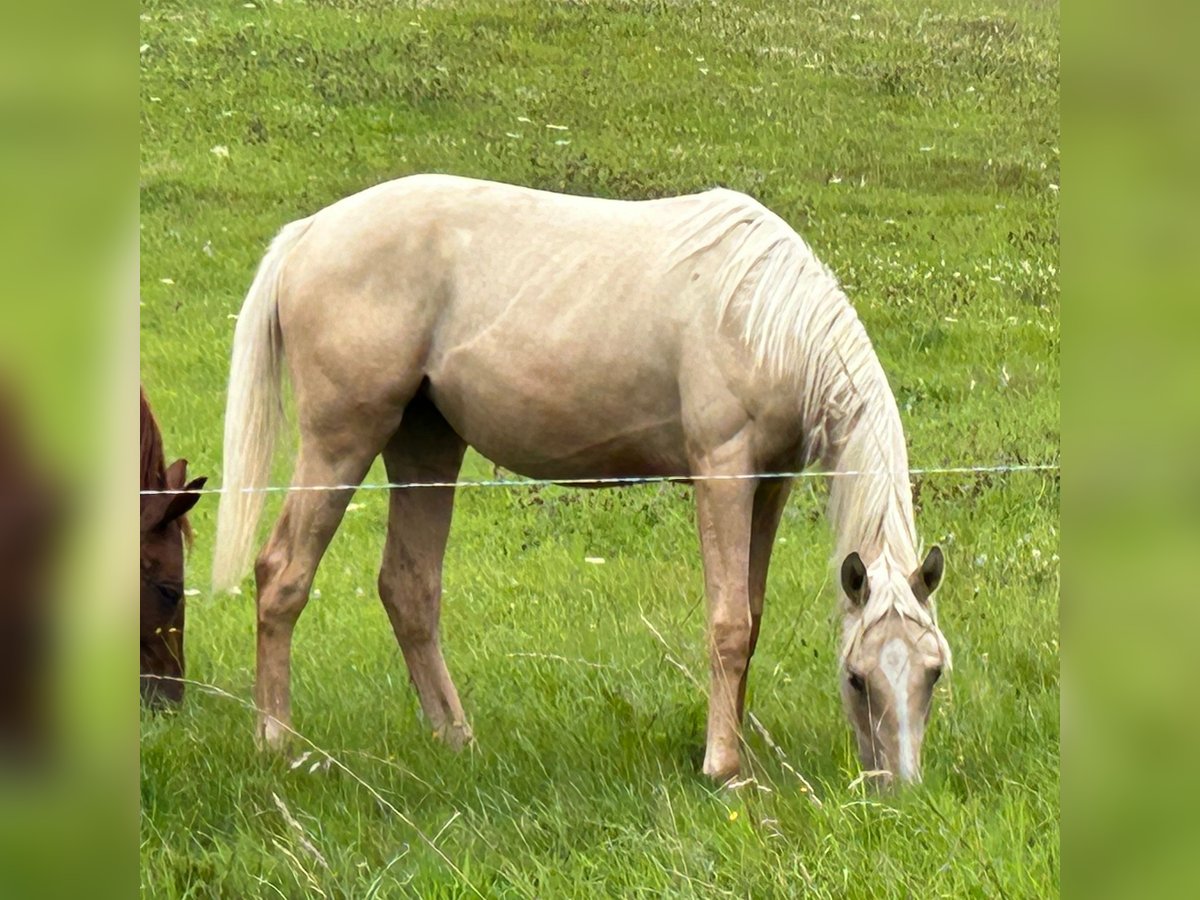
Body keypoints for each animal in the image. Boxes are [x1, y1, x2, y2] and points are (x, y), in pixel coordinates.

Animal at [212, 174, 950, 786]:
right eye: (857, 679)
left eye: (933, 672)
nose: (900, 787)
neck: (761, 312)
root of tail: (309, 232)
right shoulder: (724, 474)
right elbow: (728, 623)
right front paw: (723, 768)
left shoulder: (771, 483)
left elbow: (754, 615)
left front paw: (736, 748)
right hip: (342, 442)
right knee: (282, 575)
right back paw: (277, 743)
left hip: (425, 447)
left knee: (409, 588)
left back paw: (457, 740)